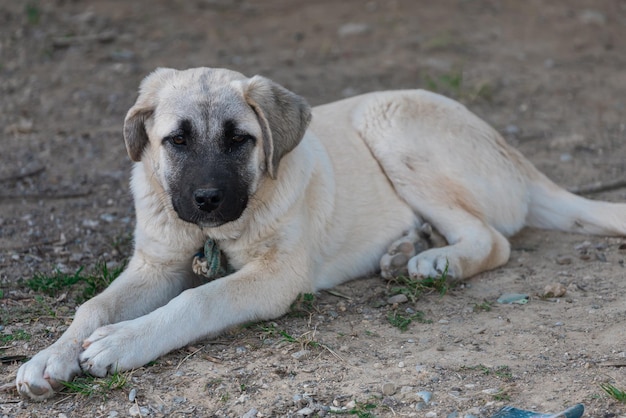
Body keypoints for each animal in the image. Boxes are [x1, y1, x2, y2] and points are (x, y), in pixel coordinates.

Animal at [15, 67, 624, 400]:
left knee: (493, 239)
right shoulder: (156, 264)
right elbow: (93, 306)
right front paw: (50, 358)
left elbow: (196, 301)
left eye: (239, 139)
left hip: (390, 124)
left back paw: (437, 262)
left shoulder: (276, 276)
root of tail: (516, 157)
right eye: (177, 140)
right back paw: (406, 250)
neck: (219, 232)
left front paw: (122, 342)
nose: (206, 201)